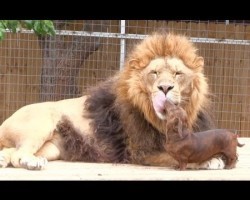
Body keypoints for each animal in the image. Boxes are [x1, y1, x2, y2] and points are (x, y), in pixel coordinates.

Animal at [0, 31, 225, 170]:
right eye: (154, 73)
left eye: (178, 74)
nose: (165, 88)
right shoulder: (141, 151)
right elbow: (177, 156)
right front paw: (211, 160)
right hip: (41, 124)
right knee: (18, 155)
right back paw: (31, 163)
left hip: (52, 147)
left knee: (12, 151)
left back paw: (4, 160)